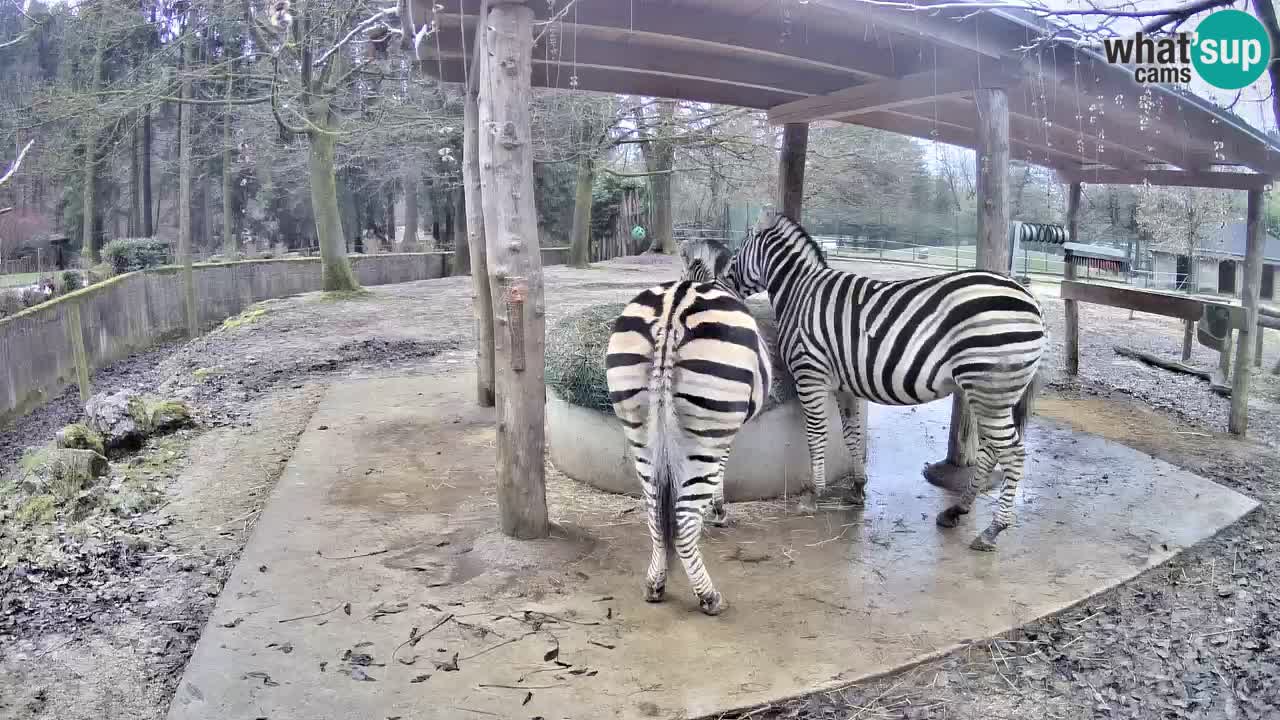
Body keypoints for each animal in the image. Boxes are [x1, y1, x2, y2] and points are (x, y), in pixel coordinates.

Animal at [606, 240, 773, 609]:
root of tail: (672, 310)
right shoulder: (727, 430)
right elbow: (722, 469)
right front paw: (718, 510)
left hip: (638, 427)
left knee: (655, 511)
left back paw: (654, 584)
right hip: (708, 430)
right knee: (682, 521)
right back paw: (708, 596)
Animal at [727, 212, 1044, 548]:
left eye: (739, 248)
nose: (724, 281)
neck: (799, 292)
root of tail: (1030, 300)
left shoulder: (809, 374)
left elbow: (816, 436)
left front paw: (813, 495)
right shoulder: (844, 385)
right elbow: (851, 434)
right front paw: (857, 488)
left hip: (989, 389)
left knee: (1013, 453)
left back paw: (992, 530)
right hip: (990, 393)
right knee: (991, 451)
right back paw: (957, 510)